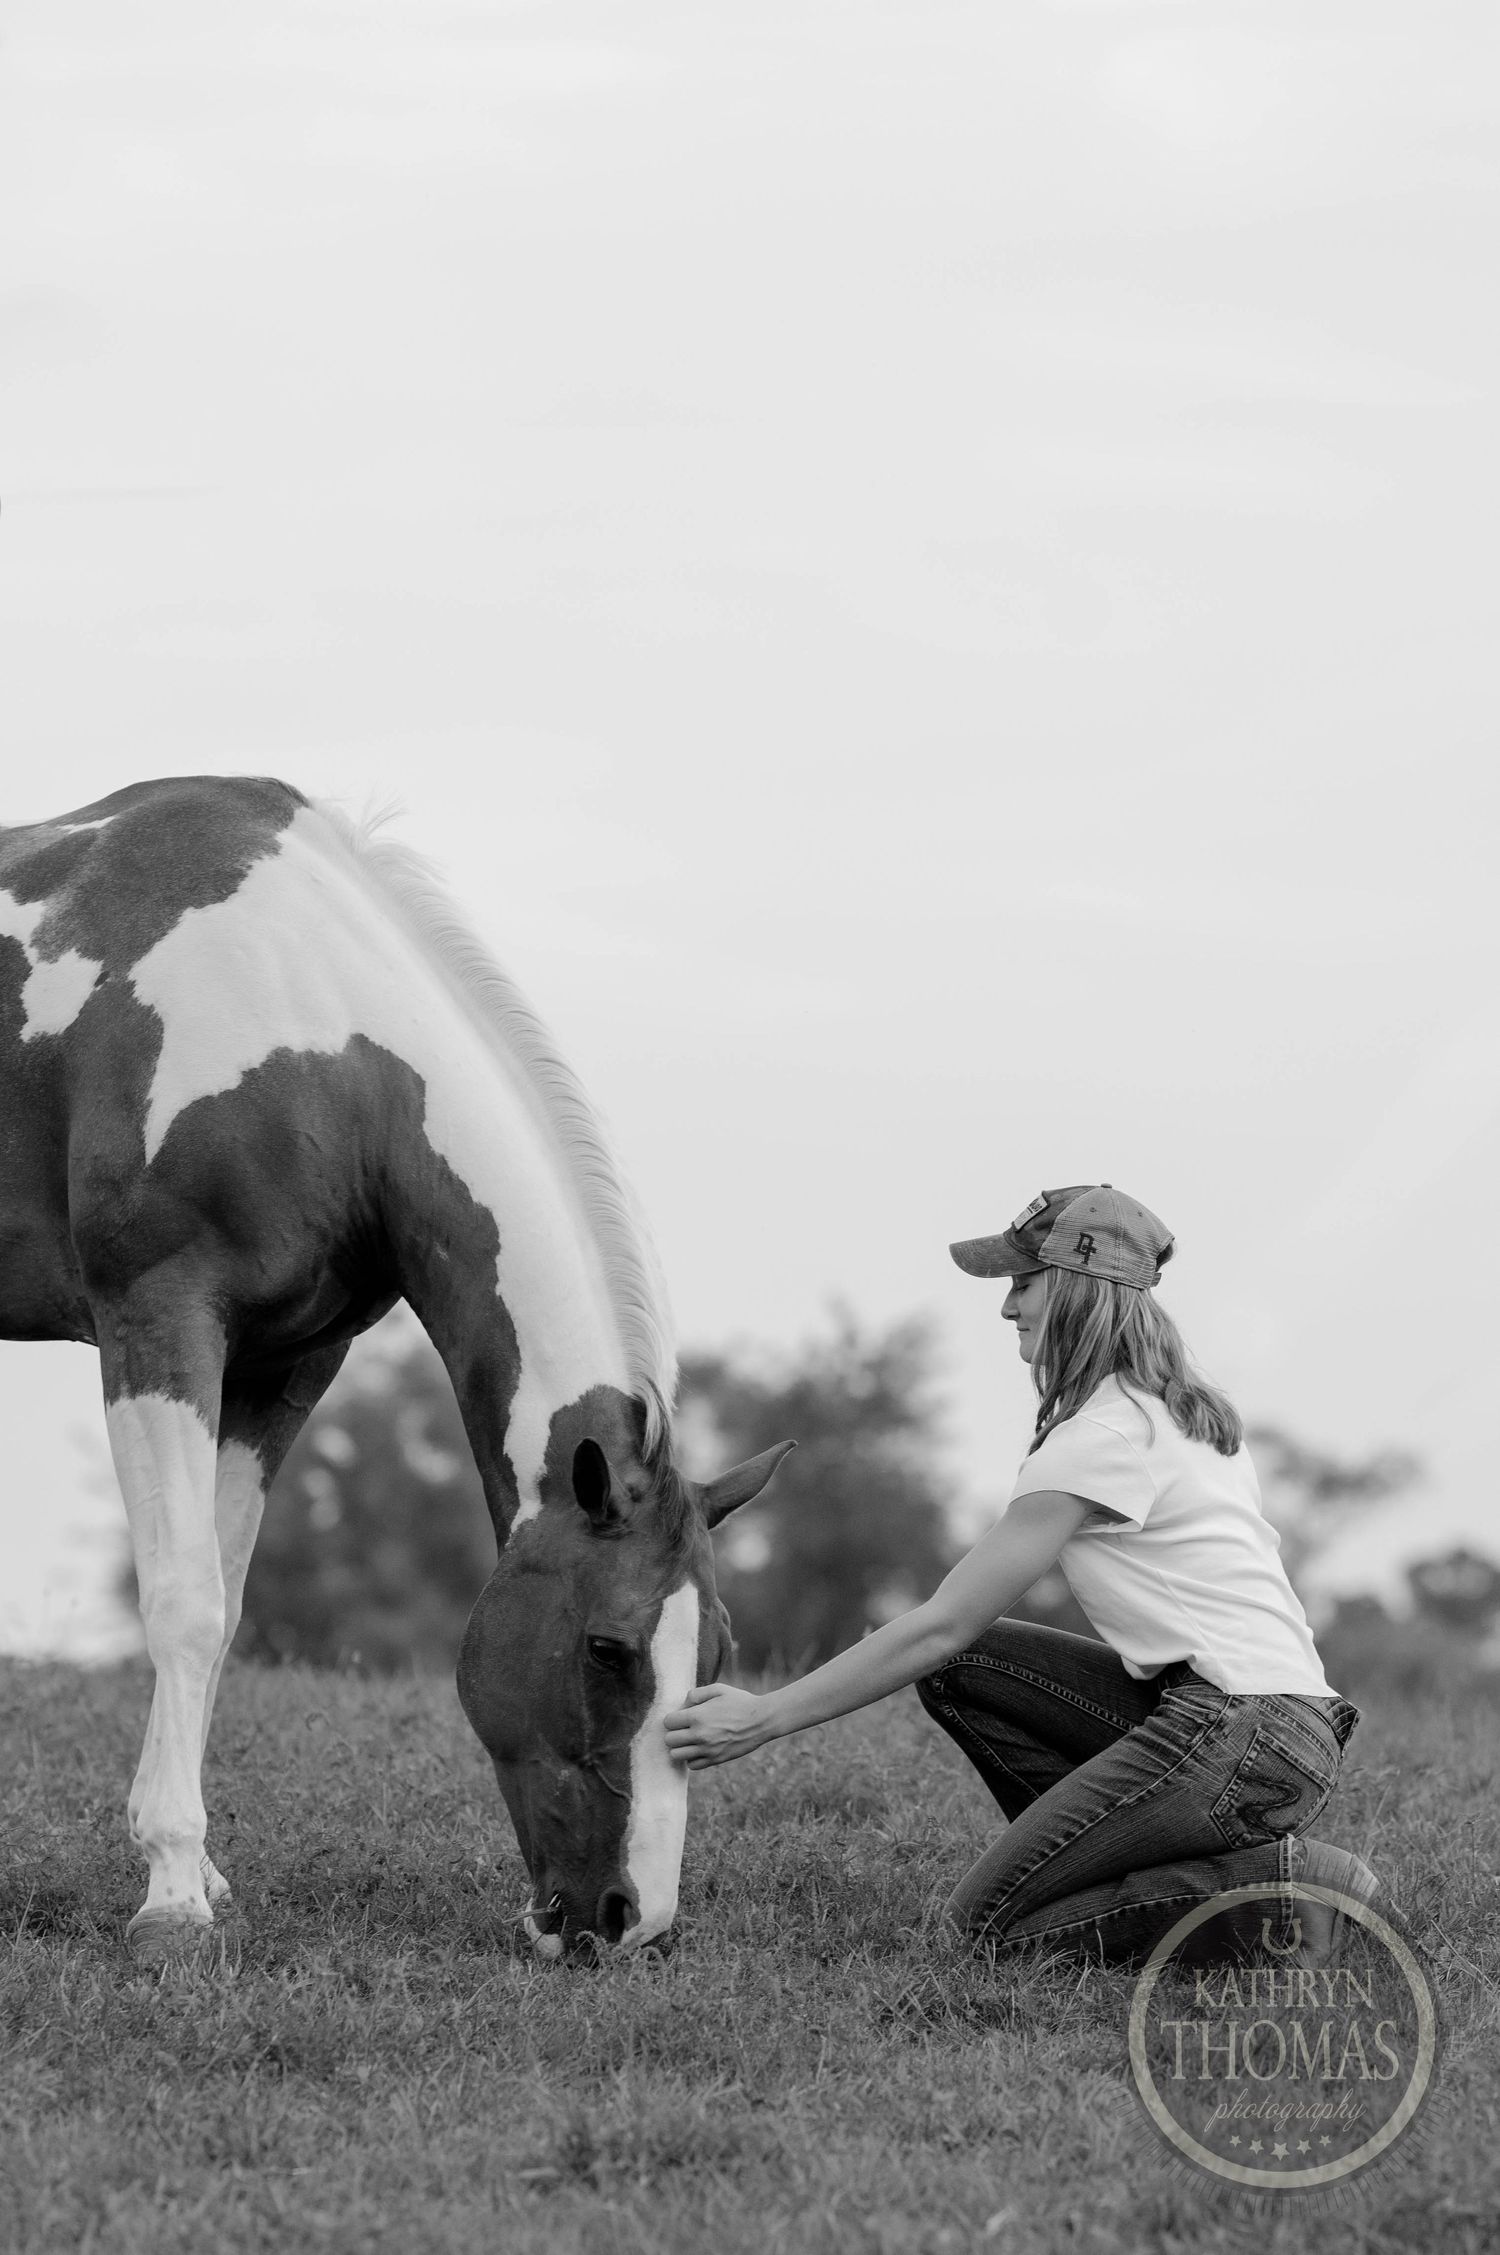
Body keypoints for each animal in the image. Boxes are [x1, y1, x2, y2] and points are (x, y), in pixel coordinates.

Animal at [0, 775, 792, 1962]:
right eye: (606, 1647)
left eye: (716, 1654)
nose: (630, 1922)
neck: (309, 1032)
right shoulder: (158, 1318)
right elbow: (184, 1599)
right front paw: (173, 1895)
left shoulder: (284, 1364)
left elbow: (225, 1604)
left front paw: (199, 1868)